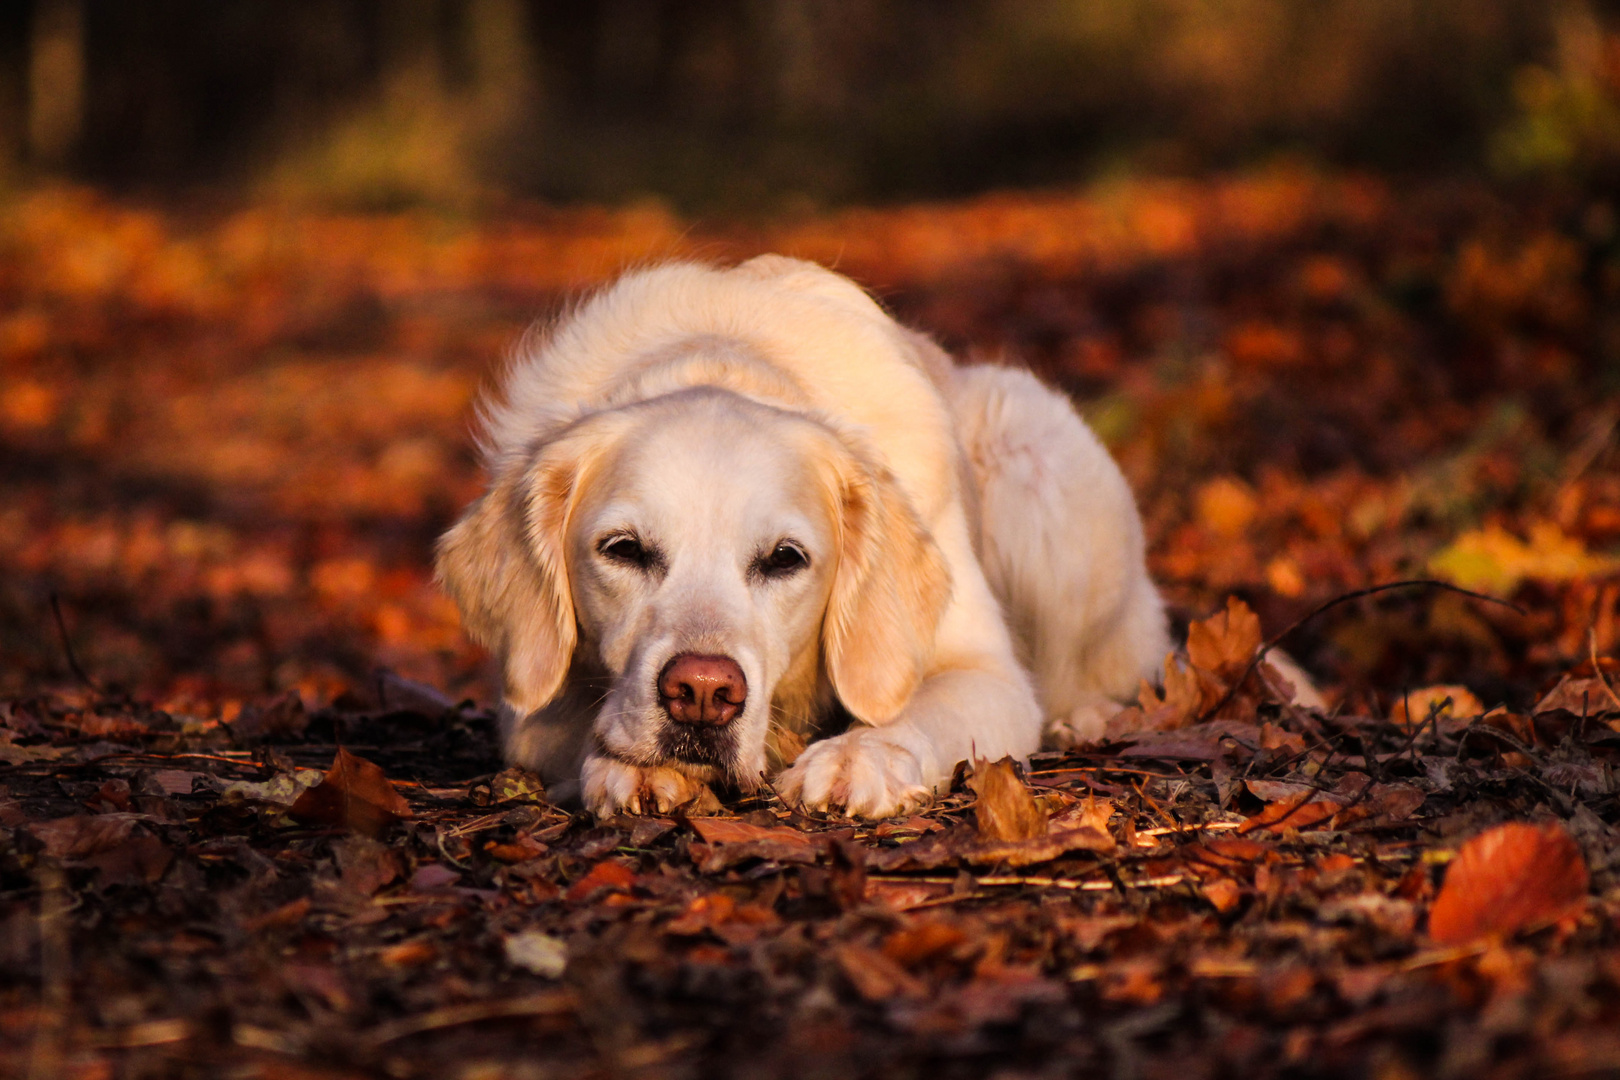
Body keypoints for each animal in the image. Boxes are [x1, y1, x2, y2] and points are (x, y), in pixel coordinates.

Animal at [434, 259, 1166, 819]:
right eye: (623, 550)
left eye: (785, 560)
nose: (703, 692)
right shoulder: (525, 710)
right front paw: (631, 766)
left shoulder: (986, 671)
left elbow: (914, 713)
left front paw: (855, 758)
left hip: (1032, 461)